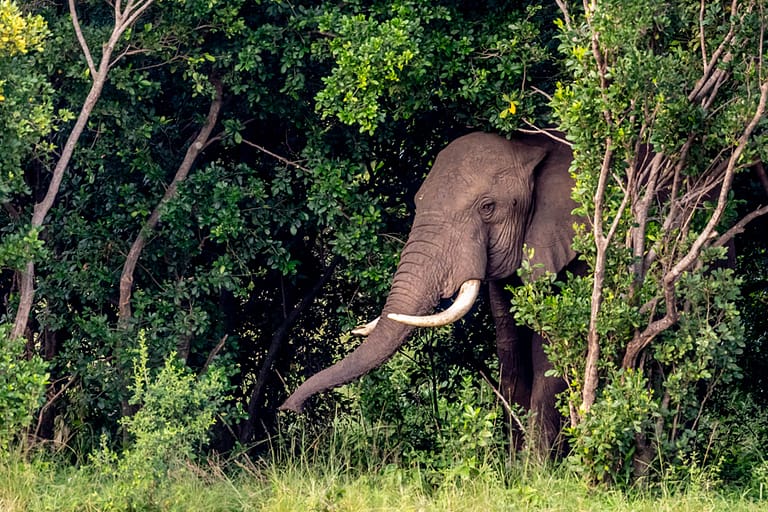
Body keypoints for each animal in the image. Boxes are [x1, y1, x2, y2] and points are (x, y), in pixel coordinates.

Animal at [280, 131, 580, 452]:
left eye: (487, 207)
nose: (290, 409)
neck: (530, 148)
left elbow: (552, 356)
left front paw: (535, 464)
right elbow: (510, 351)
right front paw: (515, 461)